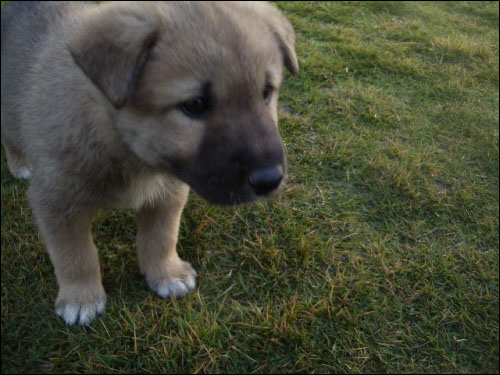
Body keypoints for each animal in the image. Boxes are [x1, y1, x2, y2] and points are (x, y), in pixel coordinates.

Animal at [0, 0, 296, 326]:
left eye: (266, 92)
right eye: (194, 105)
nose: (270, 179)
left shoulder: (167, 192)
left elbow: (162, 237)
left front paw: (167, 273)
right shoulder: (58, 202)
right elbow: (75, 254)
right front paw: (81, 297)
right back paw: (20, 164)